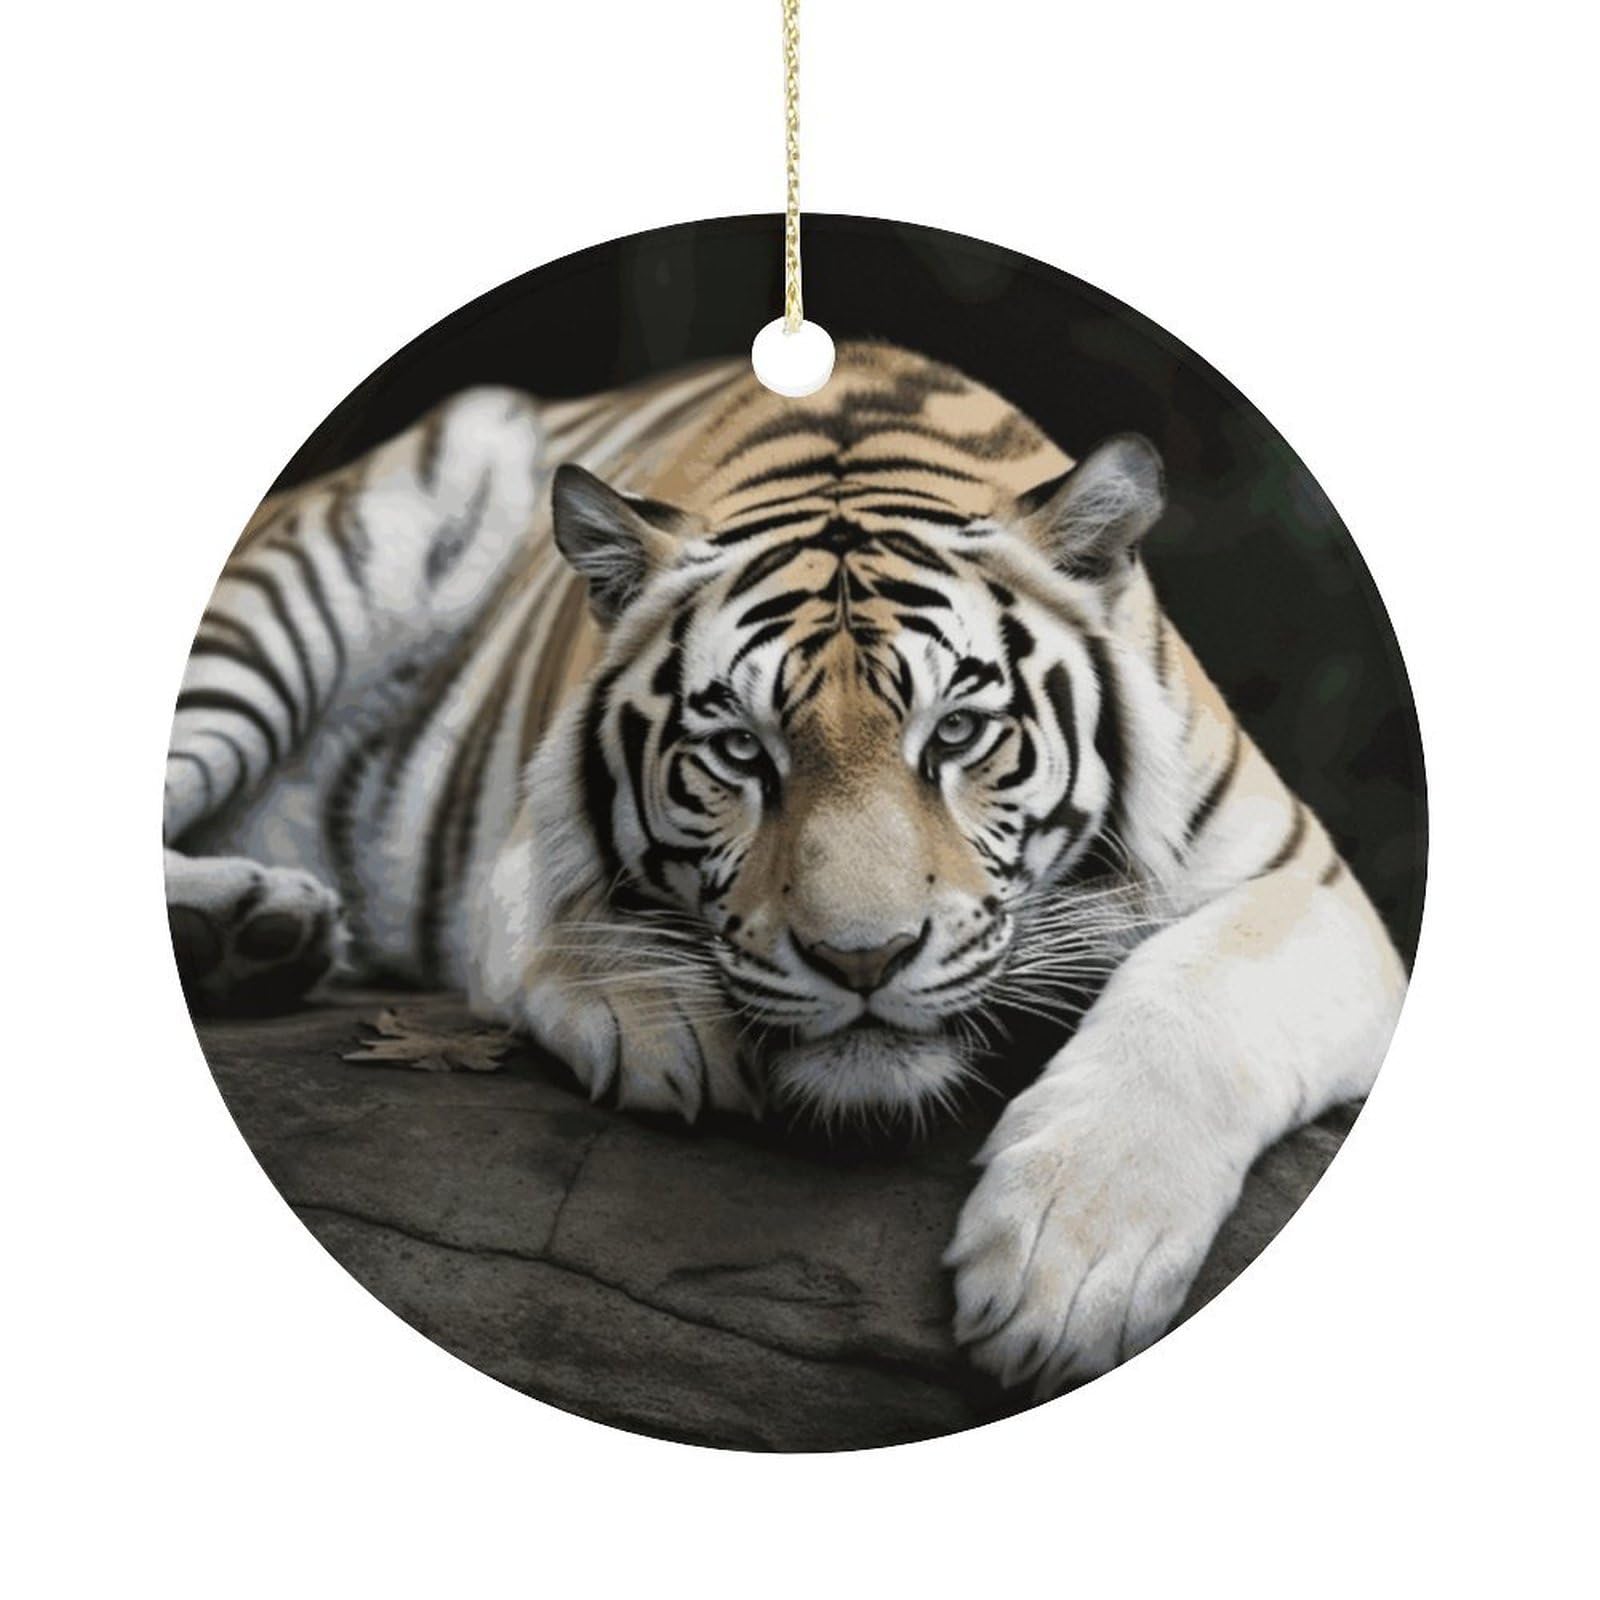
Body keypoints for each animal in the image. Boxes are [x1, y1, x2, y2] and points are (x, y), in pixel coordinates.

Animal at [165, 340, 1406, 1396]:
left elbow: (1197, 1005)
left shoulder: (1308, 884)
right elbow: (569, 916)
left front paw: (1067, 1265)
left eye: (957, 734)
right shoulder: (522, 838)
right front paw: (663, 1016)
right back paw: (244, 926)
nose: (862, 960)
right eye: (738, 752)